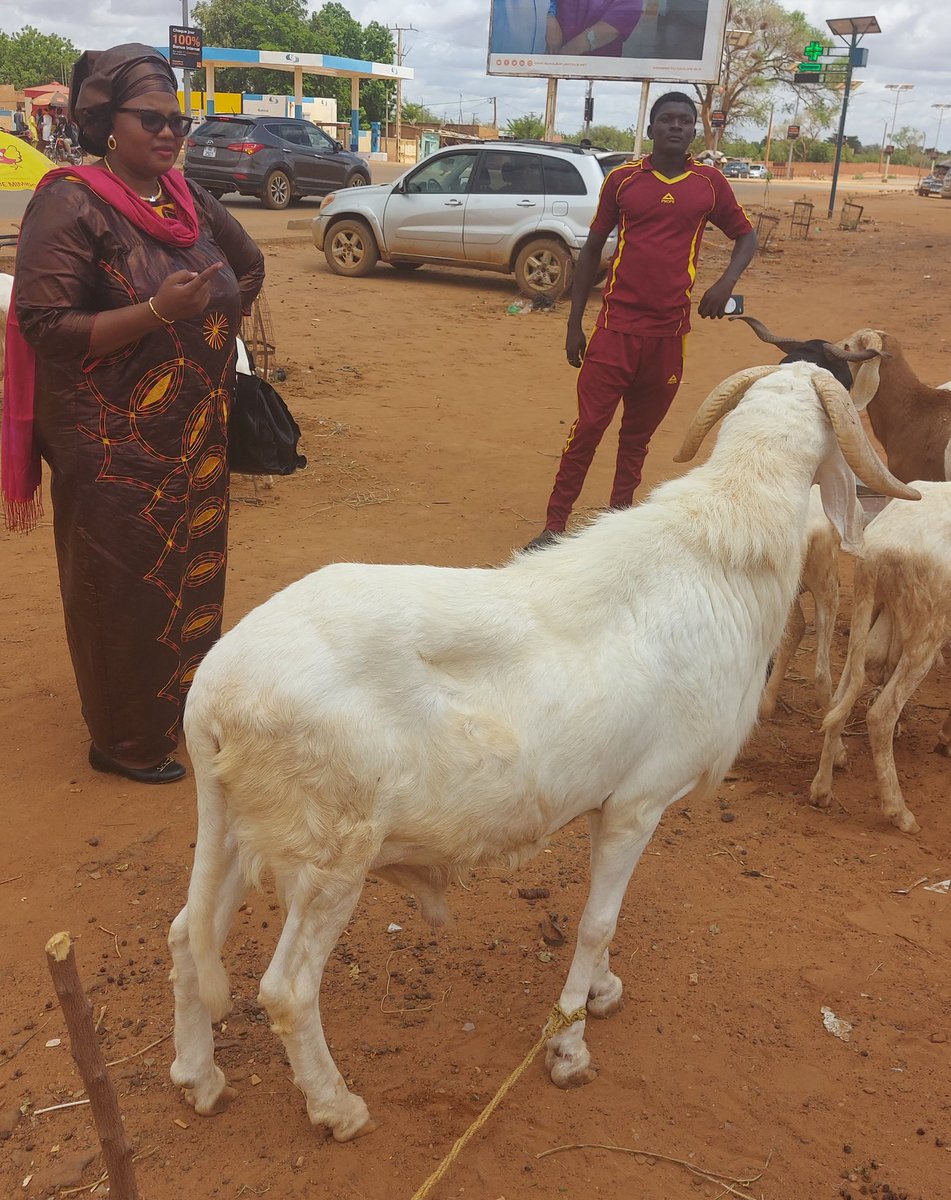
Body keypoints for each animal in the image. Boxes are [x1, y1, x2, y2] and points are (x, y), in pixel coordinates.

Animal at [167, 361, 915, 1143]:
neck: (720, 550)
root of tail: (211, 693)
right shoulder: (641, 801)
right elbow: (596, 921)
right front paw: (568, 1047)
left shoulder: (605, 798)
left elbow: (603, 915)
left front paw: (602, 991)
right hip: (329, 857)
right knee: (286, 989)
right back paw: (336, 1107)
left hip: (239, 831)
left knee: (187, 939)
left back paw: (200, 1079)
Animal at [809, 481, 951, 834]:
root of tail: (876, 555)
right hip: (926, 632)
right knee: (880, 715)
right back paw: (899, 813)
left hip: (867, 612)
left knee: (839, 696)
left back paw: (821, 790)